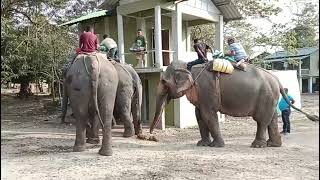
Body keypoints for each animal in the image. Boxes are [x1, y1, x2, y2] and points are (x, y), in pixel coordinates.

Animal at [149, 60, 318, 148]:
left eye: (164, 82)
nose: (151, 136)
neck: (187, 67)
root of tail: (277, 80)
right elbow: (199, 116)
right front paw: (201, 144)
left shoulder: (206, 90)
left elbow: (208, 115)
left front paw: (216, 146)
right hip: (271, 98)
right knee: (271, 119)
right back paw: (273, 145)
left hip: (266, 97)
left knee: (262, 120)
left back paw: (257, 145)